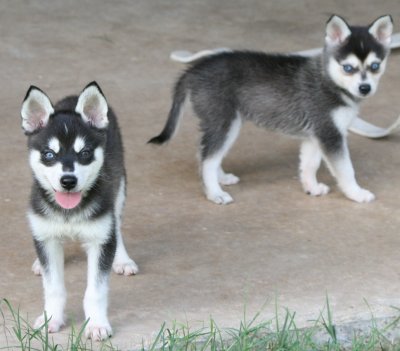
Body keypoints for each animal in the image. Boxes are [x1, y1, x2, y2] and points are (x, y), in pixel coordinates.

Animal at [20, 82, 139, 340]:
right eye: (49, 154)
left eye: (84, 153)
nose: (68, 181)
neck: (69, 212)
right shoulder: (47, 237)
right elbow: (53, 287)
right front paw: (51, 319)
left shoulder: (100, 239)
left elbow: (96, 291)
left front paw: (96, 324)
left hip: (118, 187)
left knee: (117, 226)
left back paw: (122, 259)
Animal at [148, 15, 392, 205]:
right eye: (348, 68)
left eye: (375, 66)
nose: (365, 88)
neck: (329, 80)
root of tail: (194, 69)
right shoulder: (330, 135)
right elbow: (346, 169)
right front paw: (357, 193)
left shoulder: (316, 135)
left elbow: (309, 165)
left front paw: (311, 187)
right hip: (224, 122)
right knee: (208, 160)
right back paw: (214, 192)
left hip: (227, 124)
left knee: (205, 153)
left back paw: (221, 178)